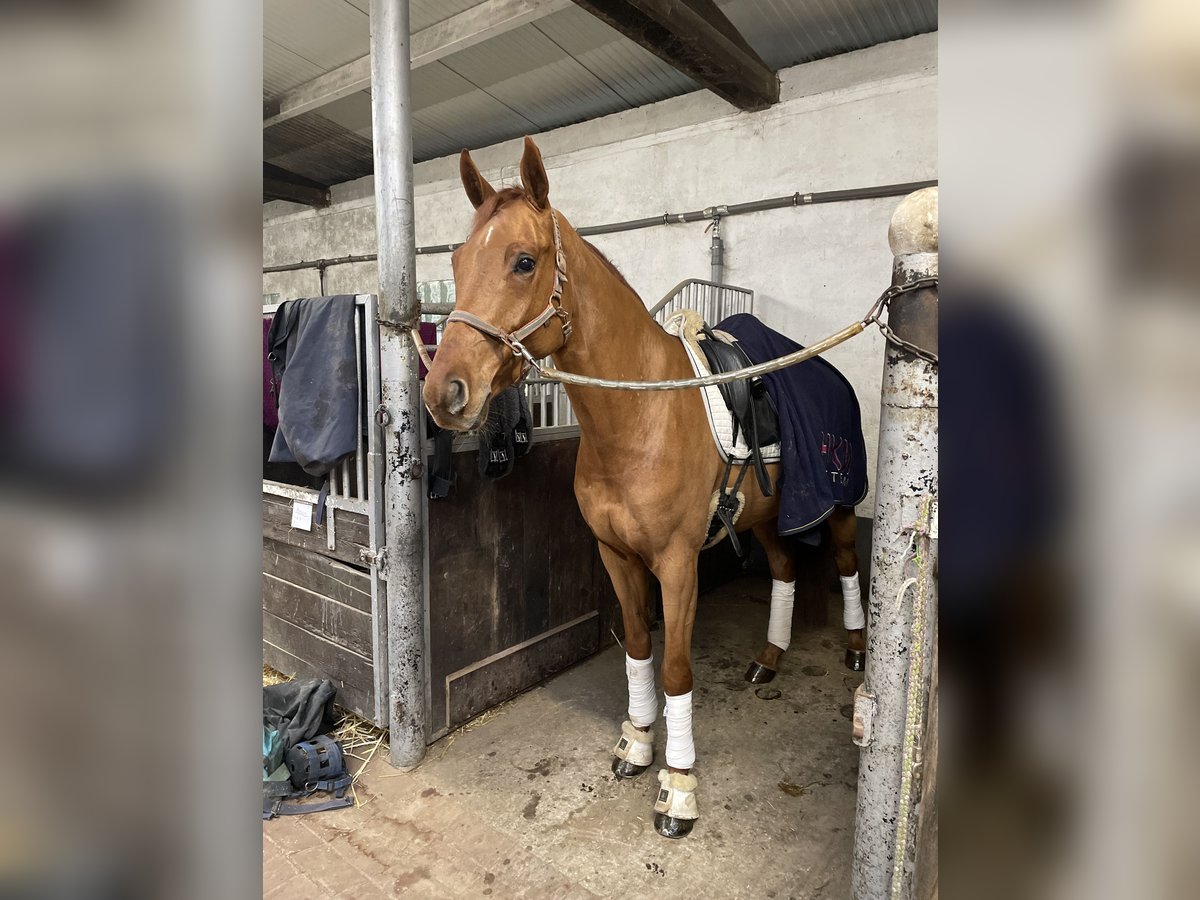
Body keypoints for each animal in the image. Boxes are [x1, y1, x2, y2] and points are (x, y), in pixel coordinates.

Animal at [422, 139, 864, 840]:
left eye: (524, 261)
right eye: (458, 262)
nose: (445, 392)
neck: (638, 420)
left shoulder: (678, 566)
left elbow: (677, 668)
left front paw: (678, 786)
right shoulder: (616, 556)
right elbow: (637, 647)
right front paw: (636, 741)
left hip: (840, 504)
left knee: (846, 565)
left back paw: (854, 650)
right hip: (766, 517)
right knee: (785, 569)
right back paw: (769, 657)